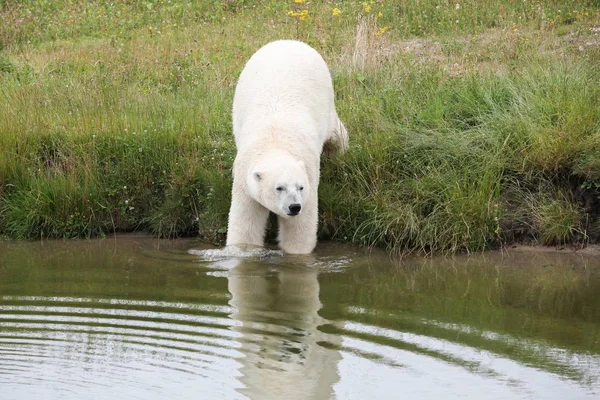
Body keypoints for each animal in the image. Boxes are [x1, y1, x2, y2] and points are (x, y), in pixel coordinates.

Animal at [225, 39, 346, 253]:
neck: (275, 142)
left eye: (300, 187)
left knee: (335, 134)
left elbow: (300, 228)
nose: (294, 207)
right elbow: (246, 223)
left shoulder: (309, 175)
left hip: (325, 97)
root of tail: (289, 41)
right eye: (279, 187)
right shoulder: (244, 178)